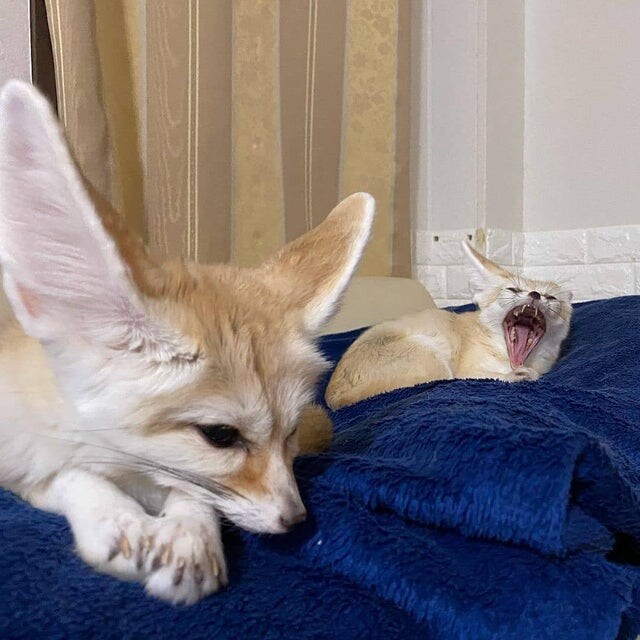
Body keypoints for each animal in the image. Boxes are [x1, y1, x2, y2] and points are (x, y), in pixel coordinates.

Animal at [0, 80, 375, 604]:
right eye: (220, 436)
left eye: (292, 430)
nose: (296, 519)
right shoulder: (19, 455)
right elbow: (70, 474)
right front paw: (115, 519)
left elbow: (195, 491)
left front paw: (189, 534)